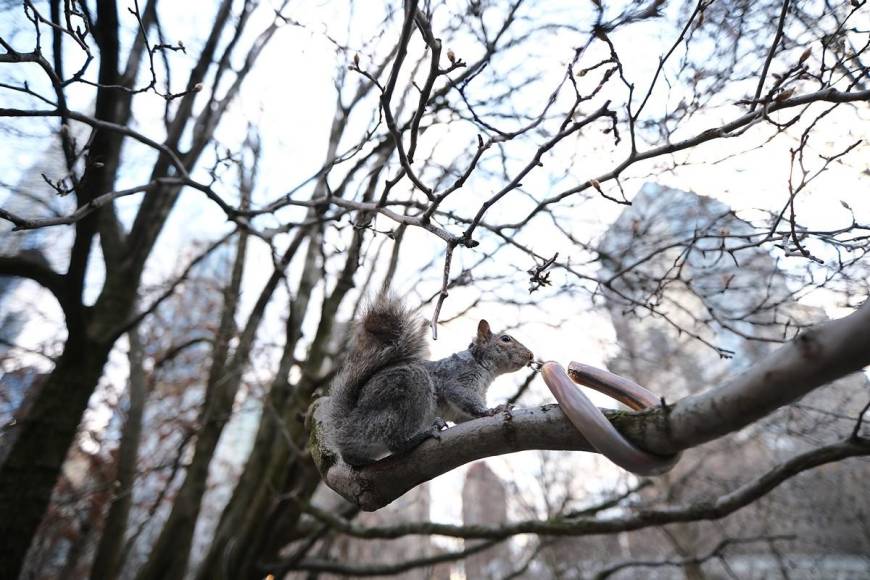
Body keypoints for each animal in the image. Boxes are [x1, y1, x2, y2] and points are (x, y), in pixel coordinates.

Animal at [328, 294, 532, 466]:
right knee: (395, 441)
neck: (480, 364)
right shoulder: (459, 379)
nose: (530, 355)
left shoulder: (460, 409)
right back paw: (423, 434)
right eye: (505, 339)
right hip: (408, 394)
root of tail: (346, 429)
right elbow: (462, 396)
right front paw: (491, 411)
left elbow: (463, 416)